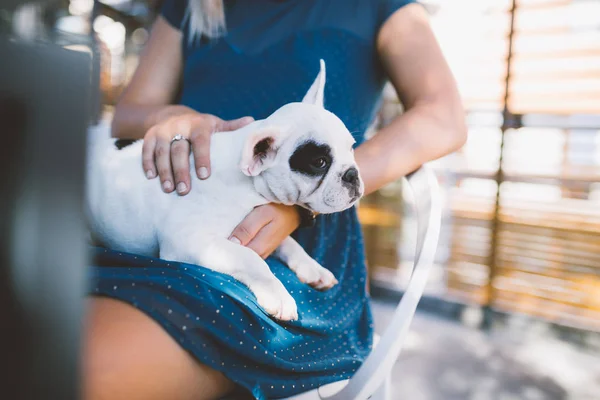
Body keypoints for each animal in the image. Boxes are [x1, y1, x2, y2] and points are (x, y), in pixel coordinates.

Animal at [86, 60, 364, 322]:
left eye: (351, 148)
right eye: (319, 162)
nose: (352, 174)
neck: (248, 185)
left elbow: (289, 242)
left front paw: (312, 267)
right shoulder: (189, 241)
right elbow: (250, 258)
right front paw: (277, 293)